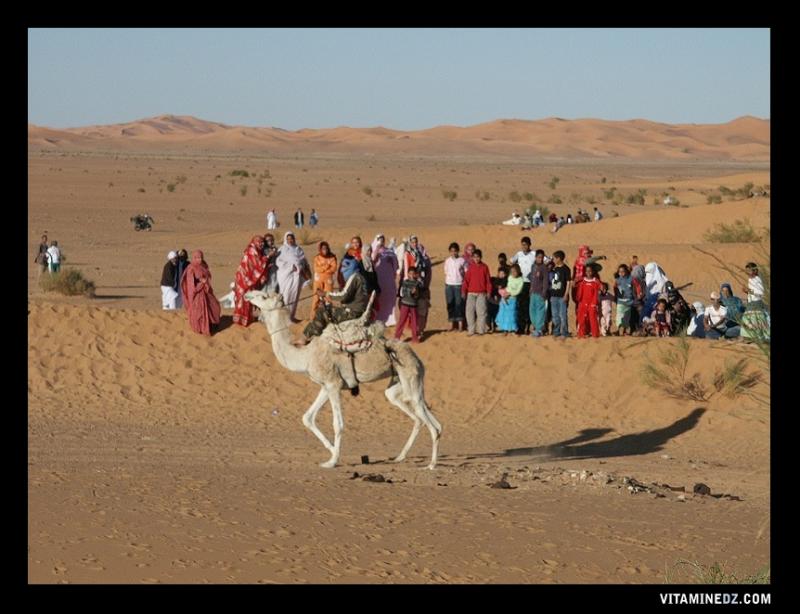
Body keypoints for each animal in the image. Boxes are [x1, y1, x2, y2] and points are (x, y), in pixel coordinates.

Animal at [245, 292, 444, 470]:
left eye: (263, 296)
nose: (247, 295)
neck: (305, 356)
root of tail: (416, 356)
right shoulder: (326, 386)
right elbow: (307, 417)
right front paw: (332, 452)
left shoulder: (333, 385)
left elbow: (338, 424)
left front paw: (332, 461)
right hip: (401, 384)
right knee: (423, 417)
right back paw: (400, 457)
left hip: (410, 376)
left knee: (429, 422)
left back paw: (431, 465)